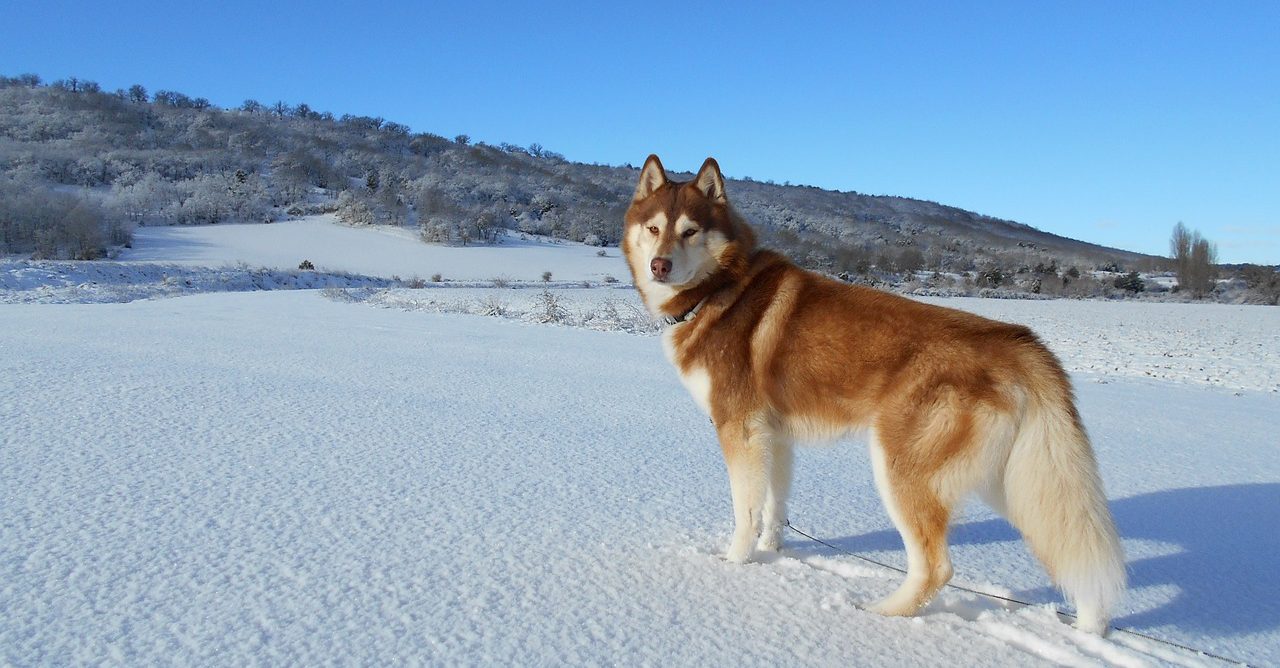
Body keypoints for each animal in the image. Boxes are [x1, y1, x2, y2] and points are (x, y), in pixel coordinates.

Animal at [624, 154, 1126, 629]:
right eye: (654, 228)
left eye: (690, 231)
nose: (659, 265)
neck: (720, 288)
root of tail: (1015, 341)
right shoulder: (774, 437)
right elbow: (773, 506)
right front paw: (773, 552)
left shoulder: (739, 431)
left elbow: (744, 513)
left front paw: (733, 565)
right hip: (1016, 480)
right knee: (1069, 543)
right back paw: (1091, 625)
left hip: (901, 470)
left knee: (936, 567)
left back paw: (880, 615)